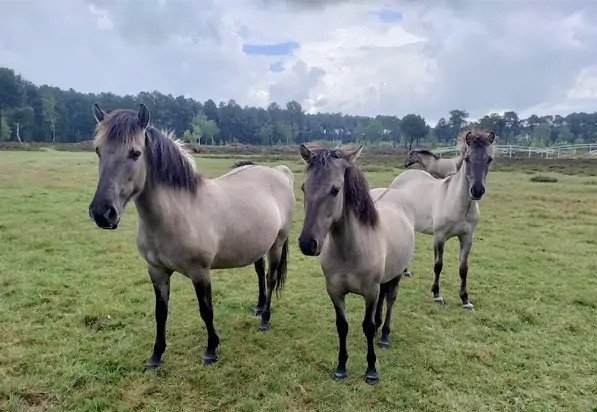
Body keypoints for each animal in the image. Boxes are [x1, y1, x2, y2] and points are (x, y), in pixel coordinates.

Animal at [86, 102, 296, 370]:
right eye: (98, 151)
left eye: (135, 153)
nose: (102, 213)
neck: (177, 212)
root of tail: (280, 172)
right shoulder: (156, 271)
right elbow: (160, 312)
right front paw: (156, 356)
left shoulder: (200, 272)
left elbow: (206, 310)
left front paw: (211, 350)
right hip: (258, 244)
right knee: (260, 272)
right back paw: (259, 308)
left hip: (277, 244)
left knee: (270, 277)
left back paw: (265, 319)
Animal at [296, 144, 414, 384]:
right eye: (304, 187)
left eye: (335, 190)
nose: (307, 243)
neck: (351, 251)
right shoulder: (335, 291)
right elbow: (342, 326)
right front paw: (341, 367)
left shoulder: (370, 291)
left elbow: (367, 326)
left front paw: (371, 370)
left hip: (396, 275)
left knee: (390, 300)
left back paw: (384, 335)